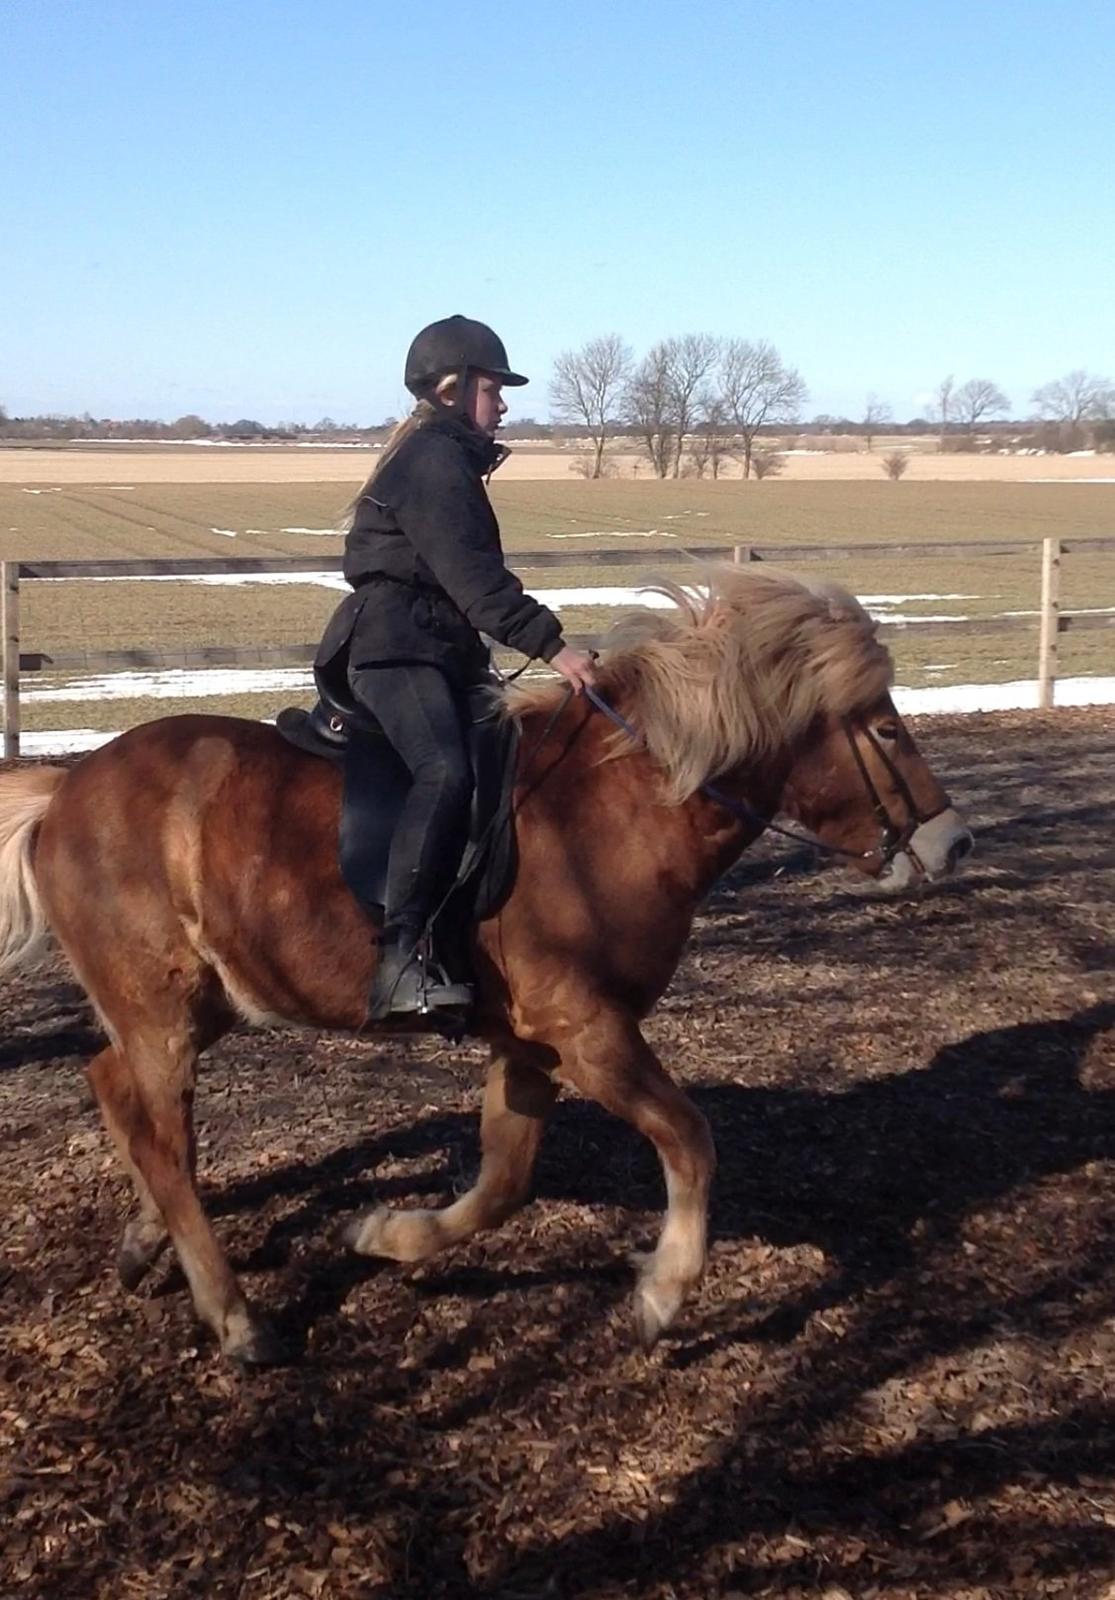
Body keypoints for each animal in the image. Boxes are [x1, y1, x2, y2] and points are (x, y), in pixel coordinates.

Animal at [0, 563, 966, 1363]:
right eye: (886, 729)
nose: (953, 843)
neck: (617, 808)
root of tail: (69, 787)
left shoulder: (529, 1043)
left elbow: (503, 1182)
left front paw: (382, 1235)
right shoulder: (589, 1032)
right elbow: (689, 1140)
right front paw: (661, 1296)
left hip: (201, 1005)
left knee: (116, 1092)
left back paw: (144, 1245)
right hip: (162, 1012)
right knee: (165, 1142)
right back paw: (234, 1317)